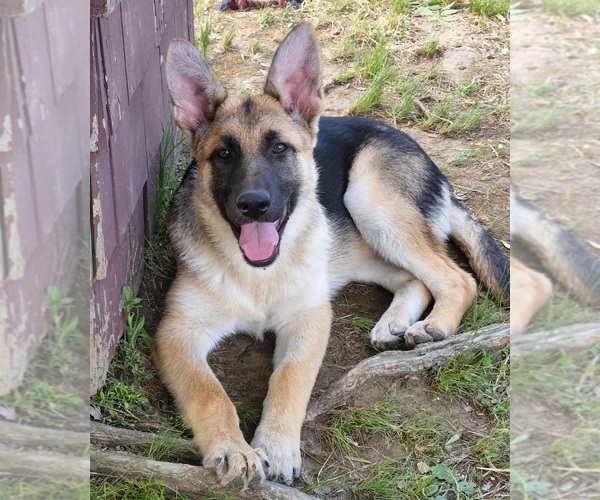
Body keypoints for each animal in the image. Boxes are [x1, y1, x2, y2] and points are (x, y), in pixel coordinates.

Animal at [154, 21, 506, 486]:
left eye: (279, 148)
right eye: (224, 154)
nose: (254, 204)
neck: (259, 275)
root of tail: (423, 155)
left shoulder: (310, 318)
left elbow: (289, 379)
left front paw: (277, 446)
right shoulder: (177, 333)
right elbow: (209, 392)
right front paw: (233, 449)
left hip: (370, 203)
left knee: (456, 278)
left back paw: (435, 325)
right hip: (353, 246)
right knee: (414, 278)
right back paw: (394, 322)